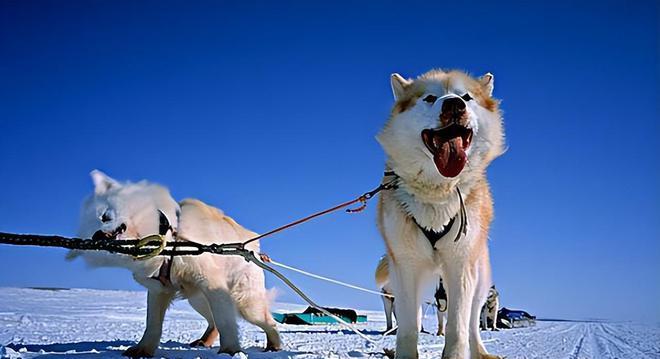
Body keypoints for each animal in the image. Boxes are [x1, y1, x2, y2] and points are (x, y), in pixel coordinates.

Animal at [70, 172, 282, 358]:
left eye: (104, 216)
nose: (97, 236)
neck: (167, 240)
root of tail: (252, 243)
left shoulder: (212, 284)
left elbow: (226, 322)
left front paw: (230, 351)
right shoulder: (158, 291)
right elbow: (153, 324)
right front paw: (142, 350)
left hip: (245, 303)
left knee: (268, 322)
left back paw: (274, 346)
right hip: (198, 300)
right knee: (212, 322)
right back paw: (204, 341)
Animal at [376, 69, 506, 358]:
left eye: (466, 97)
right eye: (430, 98)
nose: (454, 105)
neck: (437, 194)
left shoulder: (461, 265)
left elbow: (458, 330)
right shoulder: (406, 266)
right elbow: (408, 329)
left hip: (478, 282)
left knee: (473, 323)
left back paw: (481, 351)